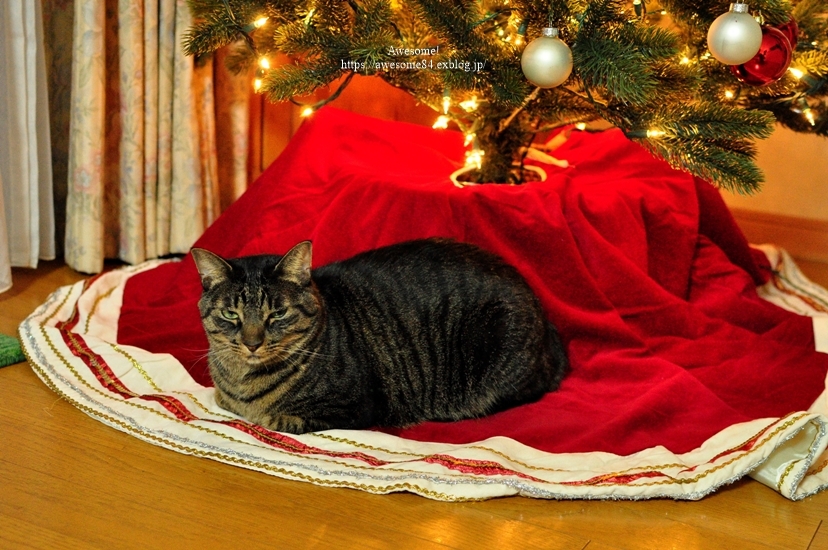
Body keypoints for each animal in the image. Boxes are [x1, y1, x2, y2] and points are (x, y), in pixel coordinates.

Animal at [192, 239, 568, 438]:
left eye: (278, 313)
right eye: (231, 314)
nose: (252, 343)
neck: (244, 381)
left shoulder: (354, 407)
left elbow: (281, 419)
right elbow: (224, 400)